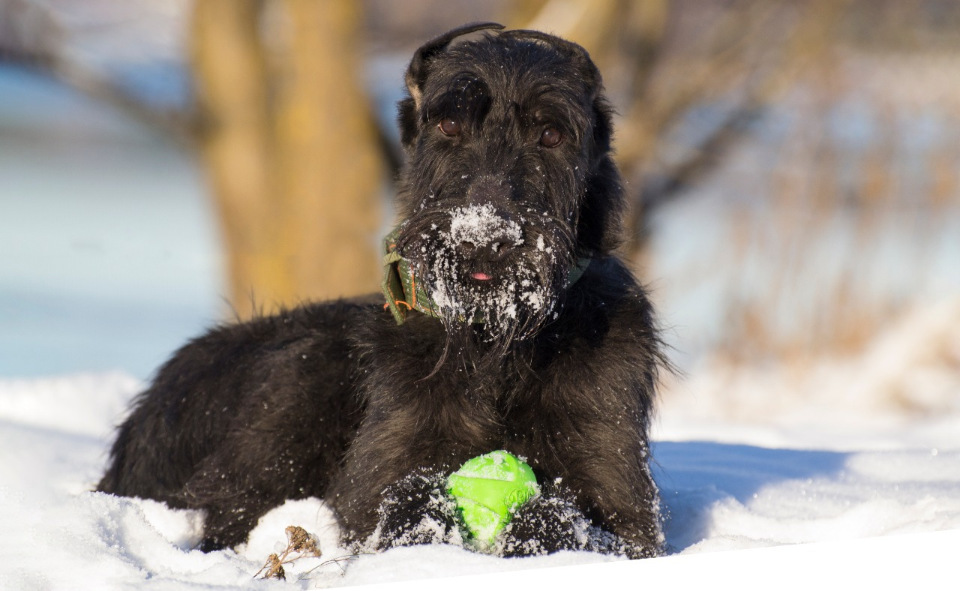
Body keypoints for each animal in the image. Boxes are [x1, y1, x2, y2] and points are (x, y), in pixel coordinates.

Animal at [99, 23, 668, 560]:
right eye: (449, 124)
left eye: (550, 133)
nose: (484, 240)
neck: (494, 350)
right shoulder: (384, 471)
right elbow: (401, 499)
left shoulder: (622, 500)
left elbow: (573, 518)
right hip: (298, 379)